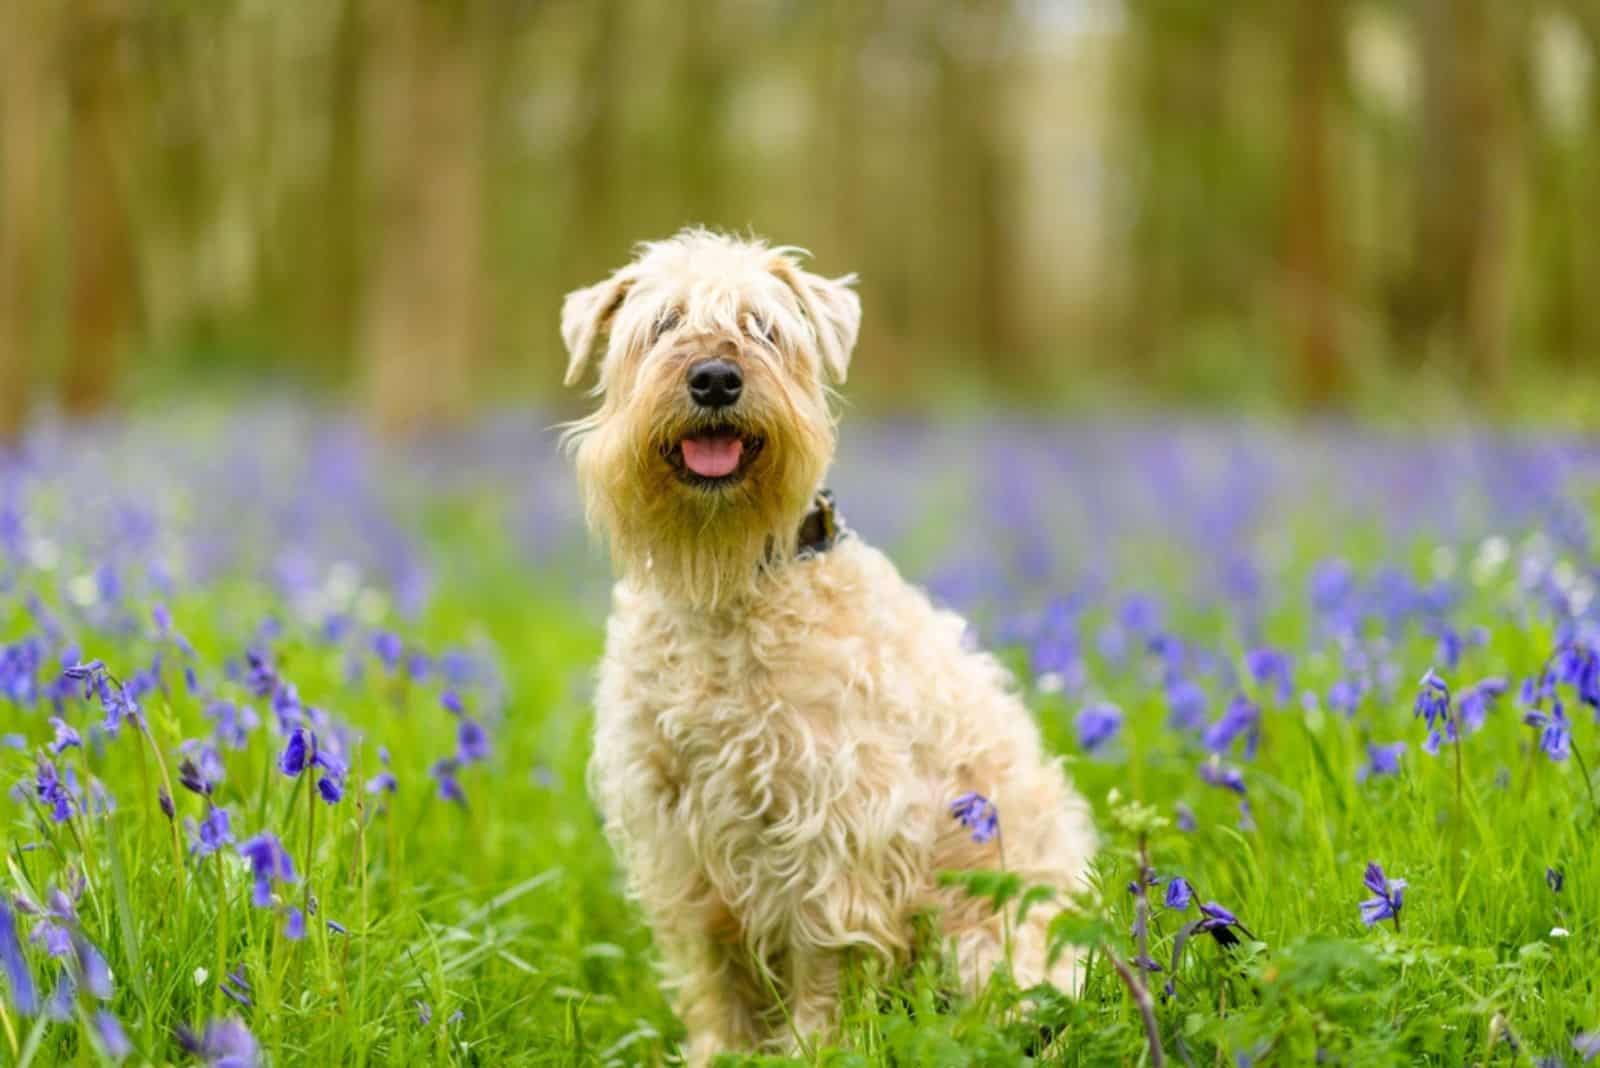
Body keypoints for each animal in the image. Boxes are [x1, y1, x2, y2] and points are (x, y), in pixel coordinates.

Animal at [556, 230, 1094, 1061]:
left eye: (765, 328)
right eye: (665, 323)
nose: (716, 377)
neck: (727, 588)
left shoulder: (834, 822)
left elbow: (823, 962)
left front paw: (812, 1049)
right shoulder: (677, 832)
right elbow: (714, 974)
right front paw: (720, 1053)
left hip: (996, 942)